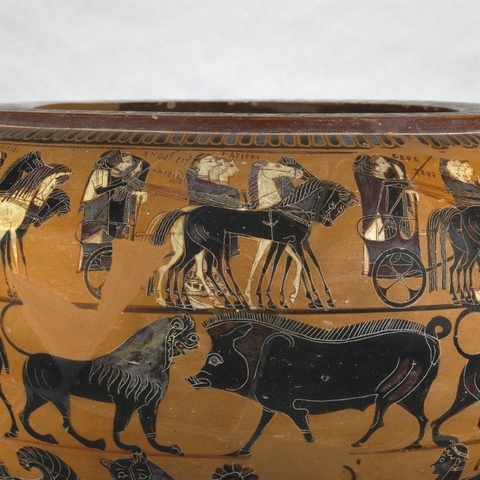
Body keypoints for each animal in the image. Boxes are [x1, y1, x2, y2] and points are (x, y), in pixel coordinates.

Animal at [171, 178, 356, 309]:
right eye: (334, 203)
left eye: (339, 207)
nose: (327, 222)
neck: (293, 211)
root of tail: (192, 213)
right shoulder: (291, 242)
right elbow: (299, 266)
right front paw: (310, 299)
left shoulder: (285, 242)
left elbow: (276, 265)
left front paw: (275, 298)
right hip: (212, 245)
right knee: (208, 269)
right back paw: (231, 300)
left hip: (201, 246)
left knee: (185, 268)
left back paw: (185, 301)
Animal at [187, 312, 451, 456]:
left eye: (215, 359)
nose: (192, 378)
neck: (259, 359)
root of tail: (430, 336)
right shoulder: (272, 407)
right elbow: (259, 429)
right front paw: (241, 451)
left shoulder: (293, 409)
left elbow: (305, 433)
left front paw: (312, 448)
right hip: (411, 395)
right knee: (421, 417)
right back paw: (413, 444)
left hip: (396, 392)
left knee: (382, 419)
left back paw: (360, 443)